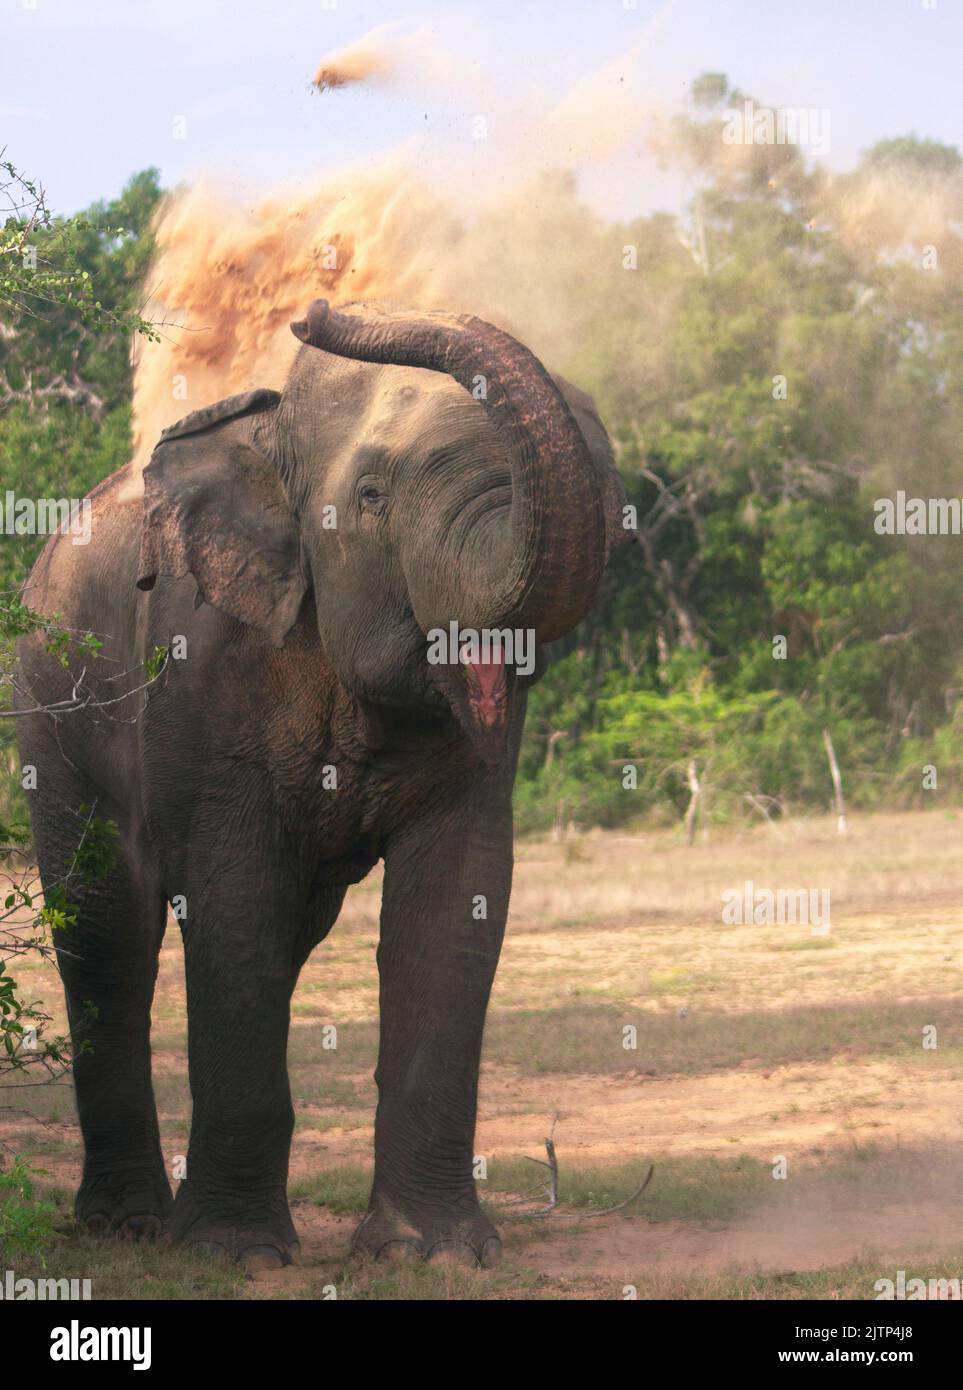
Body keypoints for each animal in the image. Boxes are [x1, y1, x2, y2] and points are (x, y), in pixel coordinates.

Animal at [15, 299, 629, 1270]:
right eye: (372, 495)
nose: (314, 312)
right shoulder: (204, 666)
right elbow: (235, 901)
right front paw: (232, 1254)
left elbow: (456, 897)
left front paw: (433, 1254)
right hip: (51, 704)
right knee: (108, 928)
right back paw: (129, 1226)